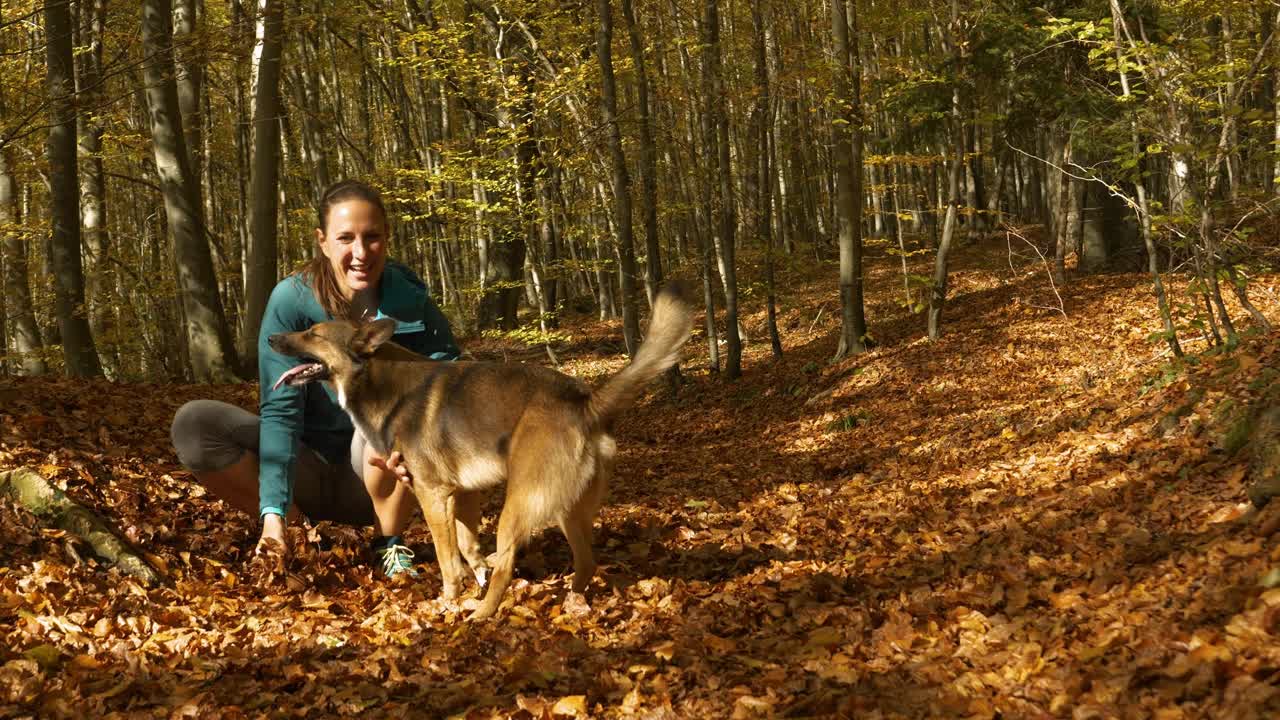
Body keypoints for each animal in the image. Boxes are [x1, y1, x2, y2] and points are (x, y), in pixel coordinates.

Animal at [266, 280, 696, 617]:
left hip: (519, 505)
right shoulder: (459, 493)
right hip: (567, 509)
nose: (270, 337)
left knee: (509, 565)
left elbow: (448, 561)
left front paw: (449, 601)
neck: (374, 378)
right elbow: (467, 546)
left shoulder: (433, 495)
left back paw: (481, 615)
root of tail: (586, 401)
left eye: (314, 334)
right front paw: (474, 576)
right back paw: (572, 603)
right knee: (586, 563)